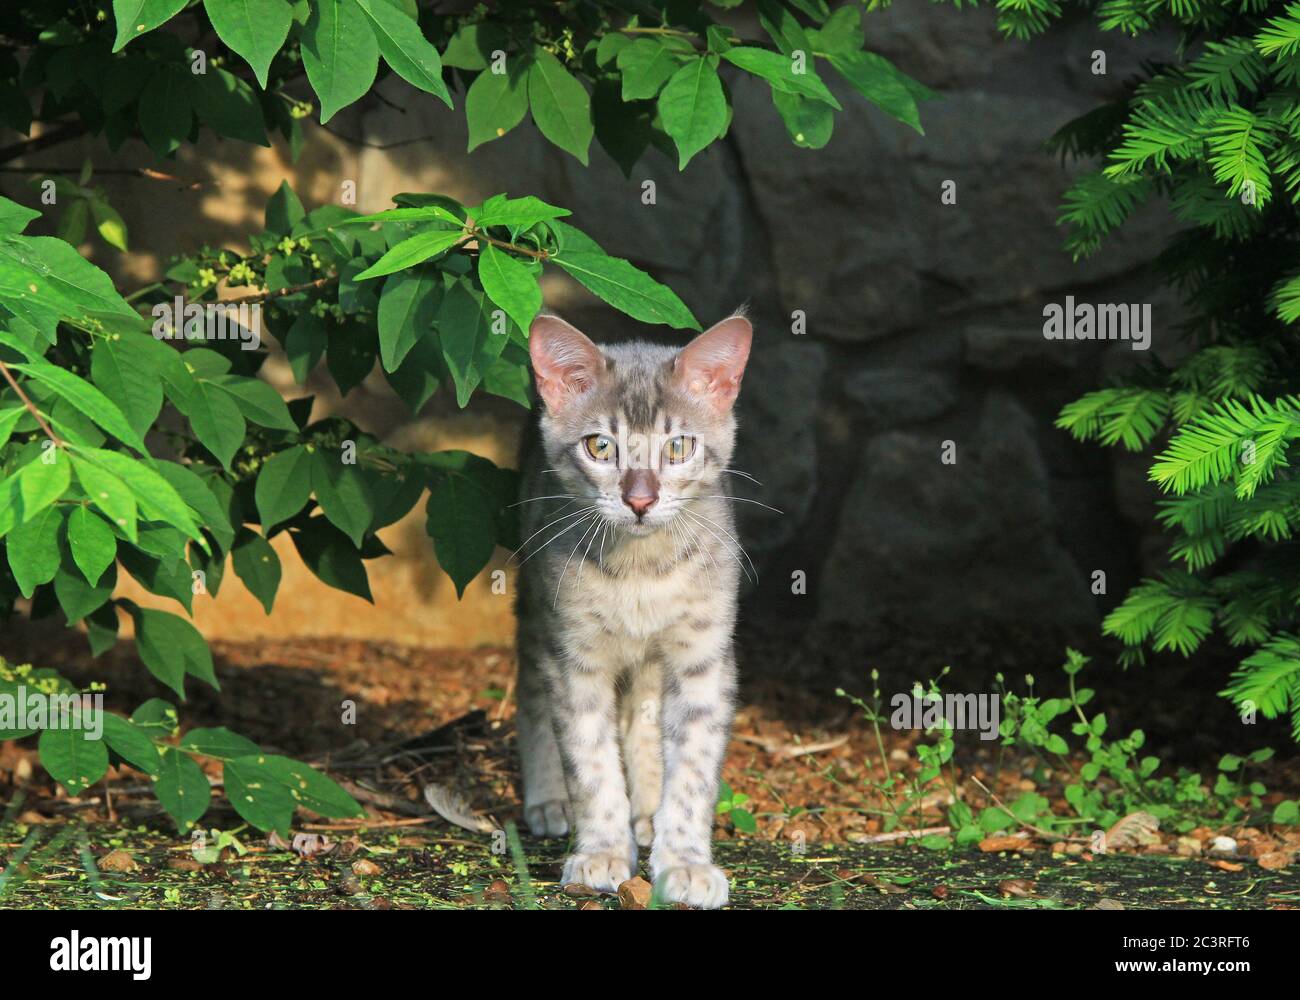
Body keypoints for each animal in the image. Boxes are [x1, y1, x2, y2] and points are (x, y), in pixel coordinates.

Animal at [509, 309, 754, 905]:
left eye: (678, 447)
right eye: (600, 447)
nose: (640, 499)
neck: (642, 570)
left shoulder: (703, 655)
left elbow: (692, 766)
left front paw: (685, 861)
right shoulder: (572, 654)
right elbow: (591, 760)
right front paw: (600, 851)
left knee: (642, 710)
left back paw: (646, 809)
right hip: (533, 601)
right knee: (530, 689)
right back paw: (548, 801)